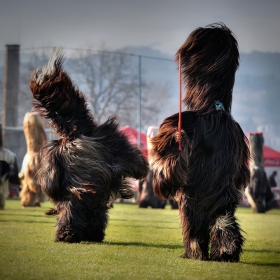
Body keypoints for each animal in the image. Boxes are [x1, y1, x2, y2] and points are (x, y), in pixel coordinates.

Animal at [29, 48, 150, 243]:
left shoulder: (53, 158)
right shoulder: (112, 140)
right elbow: (132, 159)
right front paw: (142, 168)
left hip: (76, 199)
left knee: (73, 212)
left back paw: (69, 234)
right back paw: (83, 234)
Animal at [150, 23, 250, 262]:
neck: (213, 106)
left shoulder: (179, 124)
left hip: (191, 200)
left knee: (193, 226)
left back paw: (194, 253)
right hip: (222, 199)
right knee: (223, 220)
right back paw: (226, 251)